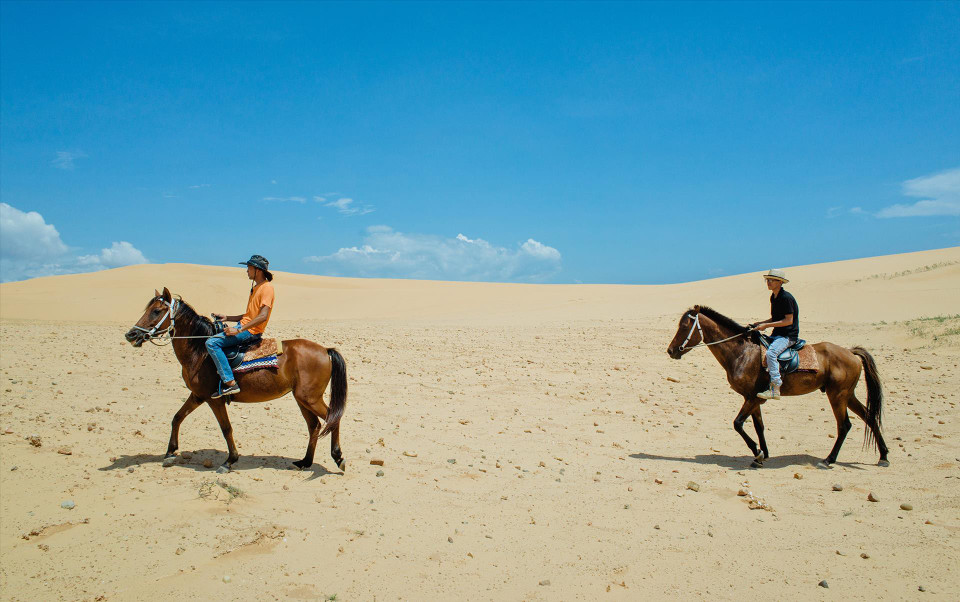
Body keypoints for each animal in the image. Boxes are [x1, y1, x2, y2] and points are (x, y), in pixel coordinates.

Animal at [124, 287, 347, 474]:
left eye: (156, 311)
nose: (131, 335)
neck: (200, 351)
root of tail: (325, 350)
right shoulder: (197, 395)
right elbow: (177, 417)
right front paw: (170, 452)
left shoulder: (214, 399)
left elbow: (226, 428)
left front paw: (230, 460)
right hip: (301, 398)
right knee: (314, 426)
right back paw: (305, 462)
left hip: (309, 398)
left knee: (332, 418)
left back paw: (338, 458)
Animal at [666, 305, 889, 469]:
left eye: (684, 326)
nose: (671, 350)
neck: (742, 352)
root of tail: (851, 352)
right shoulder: (753, 398)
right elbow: (759, 426)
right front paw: (762, 455)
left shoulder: (753, 397)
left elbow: (738, 423)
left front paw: (757, 452)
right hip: (847, 395)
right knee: (869, 417)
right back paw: (884, 456)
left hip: (838, 396)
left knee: (844, 425)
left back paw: (829, 459)